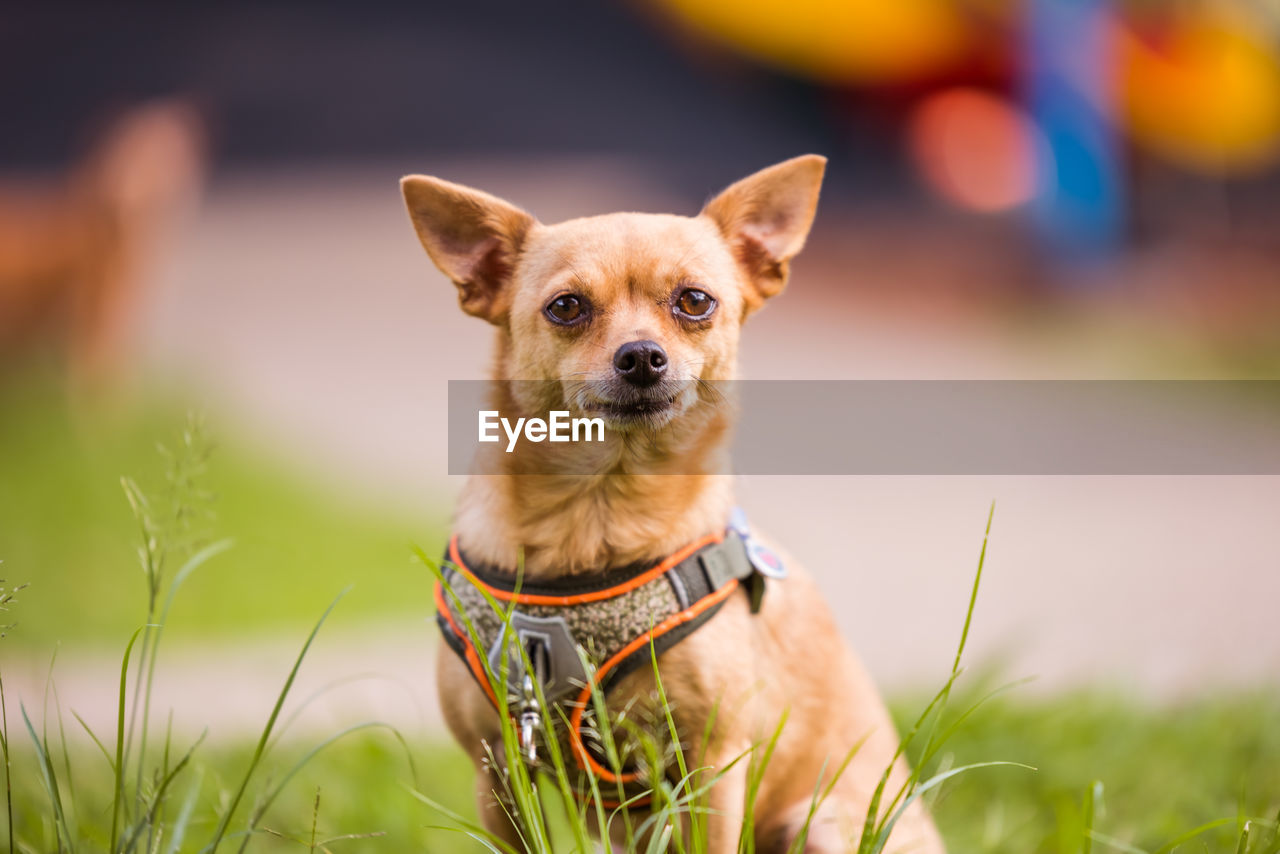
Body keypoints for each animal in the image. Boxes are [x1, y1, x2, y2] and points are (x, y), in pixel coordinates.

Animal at [404, 156, 947, 850]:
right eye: (566, 307)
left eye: (694, 301)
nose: (641, 356)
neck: (599, 509)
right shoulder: (496, 766)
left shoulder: (714, 763)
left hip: (818, 821)